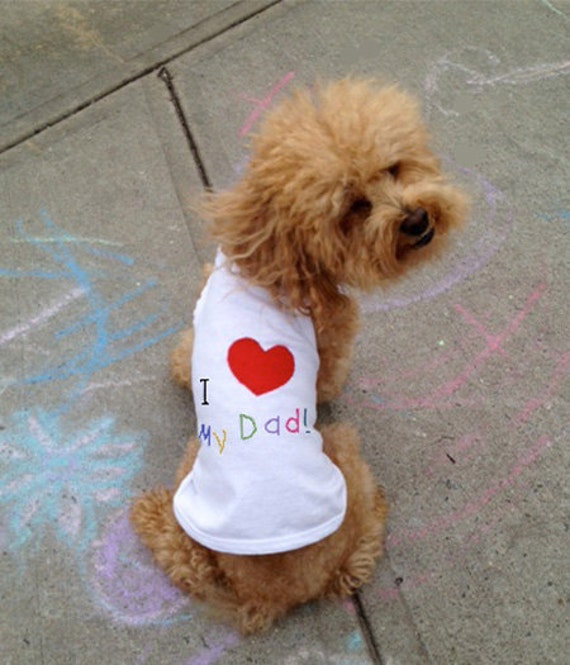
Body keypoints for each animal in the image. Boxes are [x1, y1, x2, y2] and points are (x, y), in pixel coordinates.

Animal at [130, 79, 466, 632]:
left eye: (392, 169)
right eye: (354, 207)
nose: (418, 220)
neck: (274, 261)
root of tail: (267, 596)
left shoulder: (191, 341)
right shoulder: (327, 351)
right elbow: (327, 380)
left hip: (190, 487)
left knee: (185, 558)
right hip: (342, 449)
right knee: (352, 557)